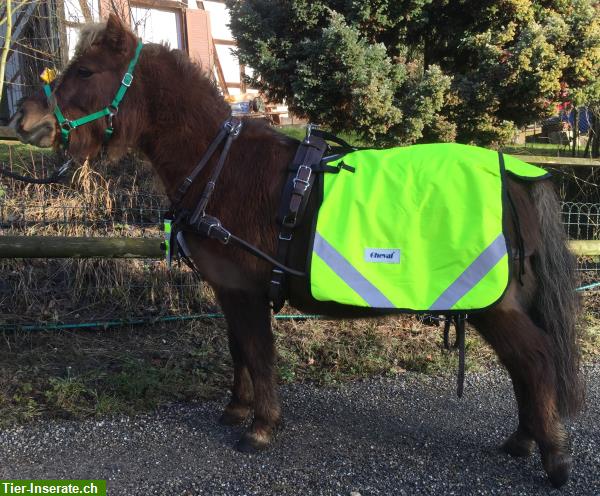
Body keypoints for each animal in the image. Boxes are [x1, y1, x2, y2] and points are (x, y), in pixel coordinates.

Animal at [11, 13, 584, 486]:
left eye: (86, 70)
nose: (24, 117)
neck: (224, 166)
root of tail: (516, 173)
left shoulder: (244, 290)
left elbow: (259, 353)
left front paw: (262, 426)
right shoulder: (231, 290)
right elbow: (239, 351)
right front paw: (237, 409)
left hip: (493, 303)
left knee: (535, 360)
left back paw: (554, 456)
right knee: (523, 366)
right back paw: (524, 440)